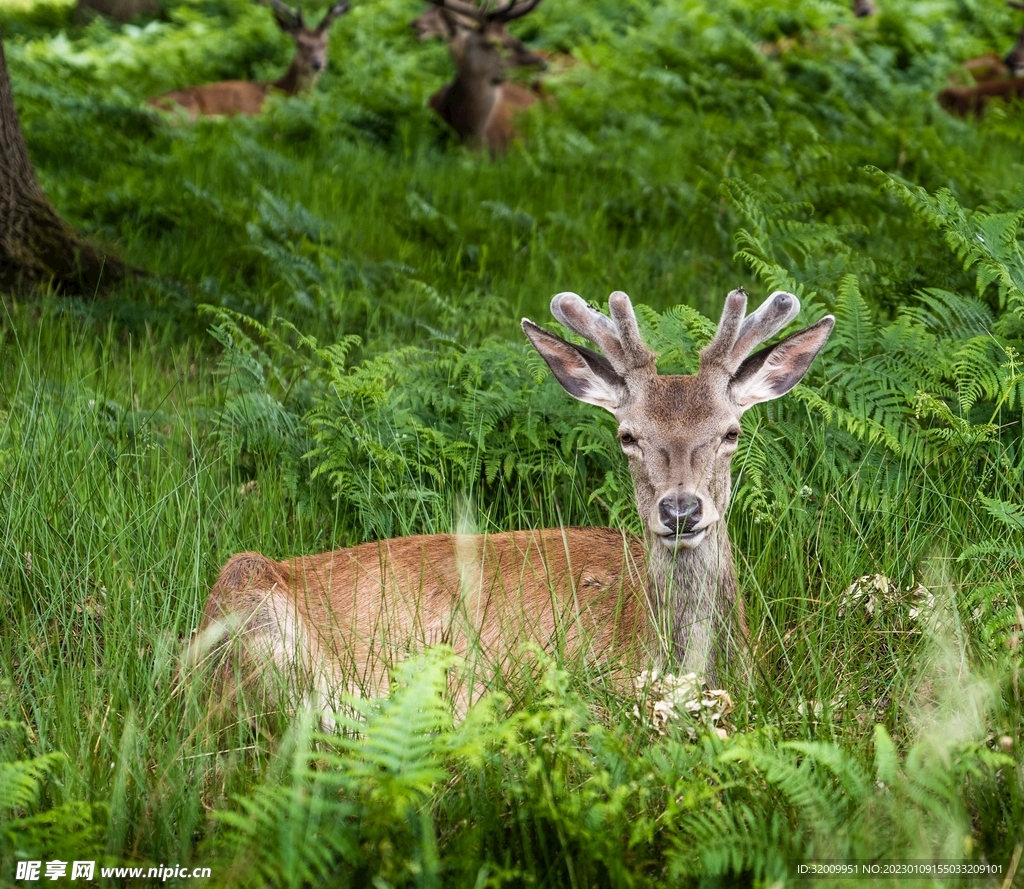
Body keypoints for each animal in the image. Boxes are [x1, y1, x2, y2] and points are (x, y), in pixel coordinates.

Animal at [147, 0, 349, 119]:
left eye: (325, 43)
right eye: (299, 43)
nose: (317, 64)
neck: (280, 90)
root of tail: (144, 106)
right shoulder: (255, 113)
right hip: (185, 109)